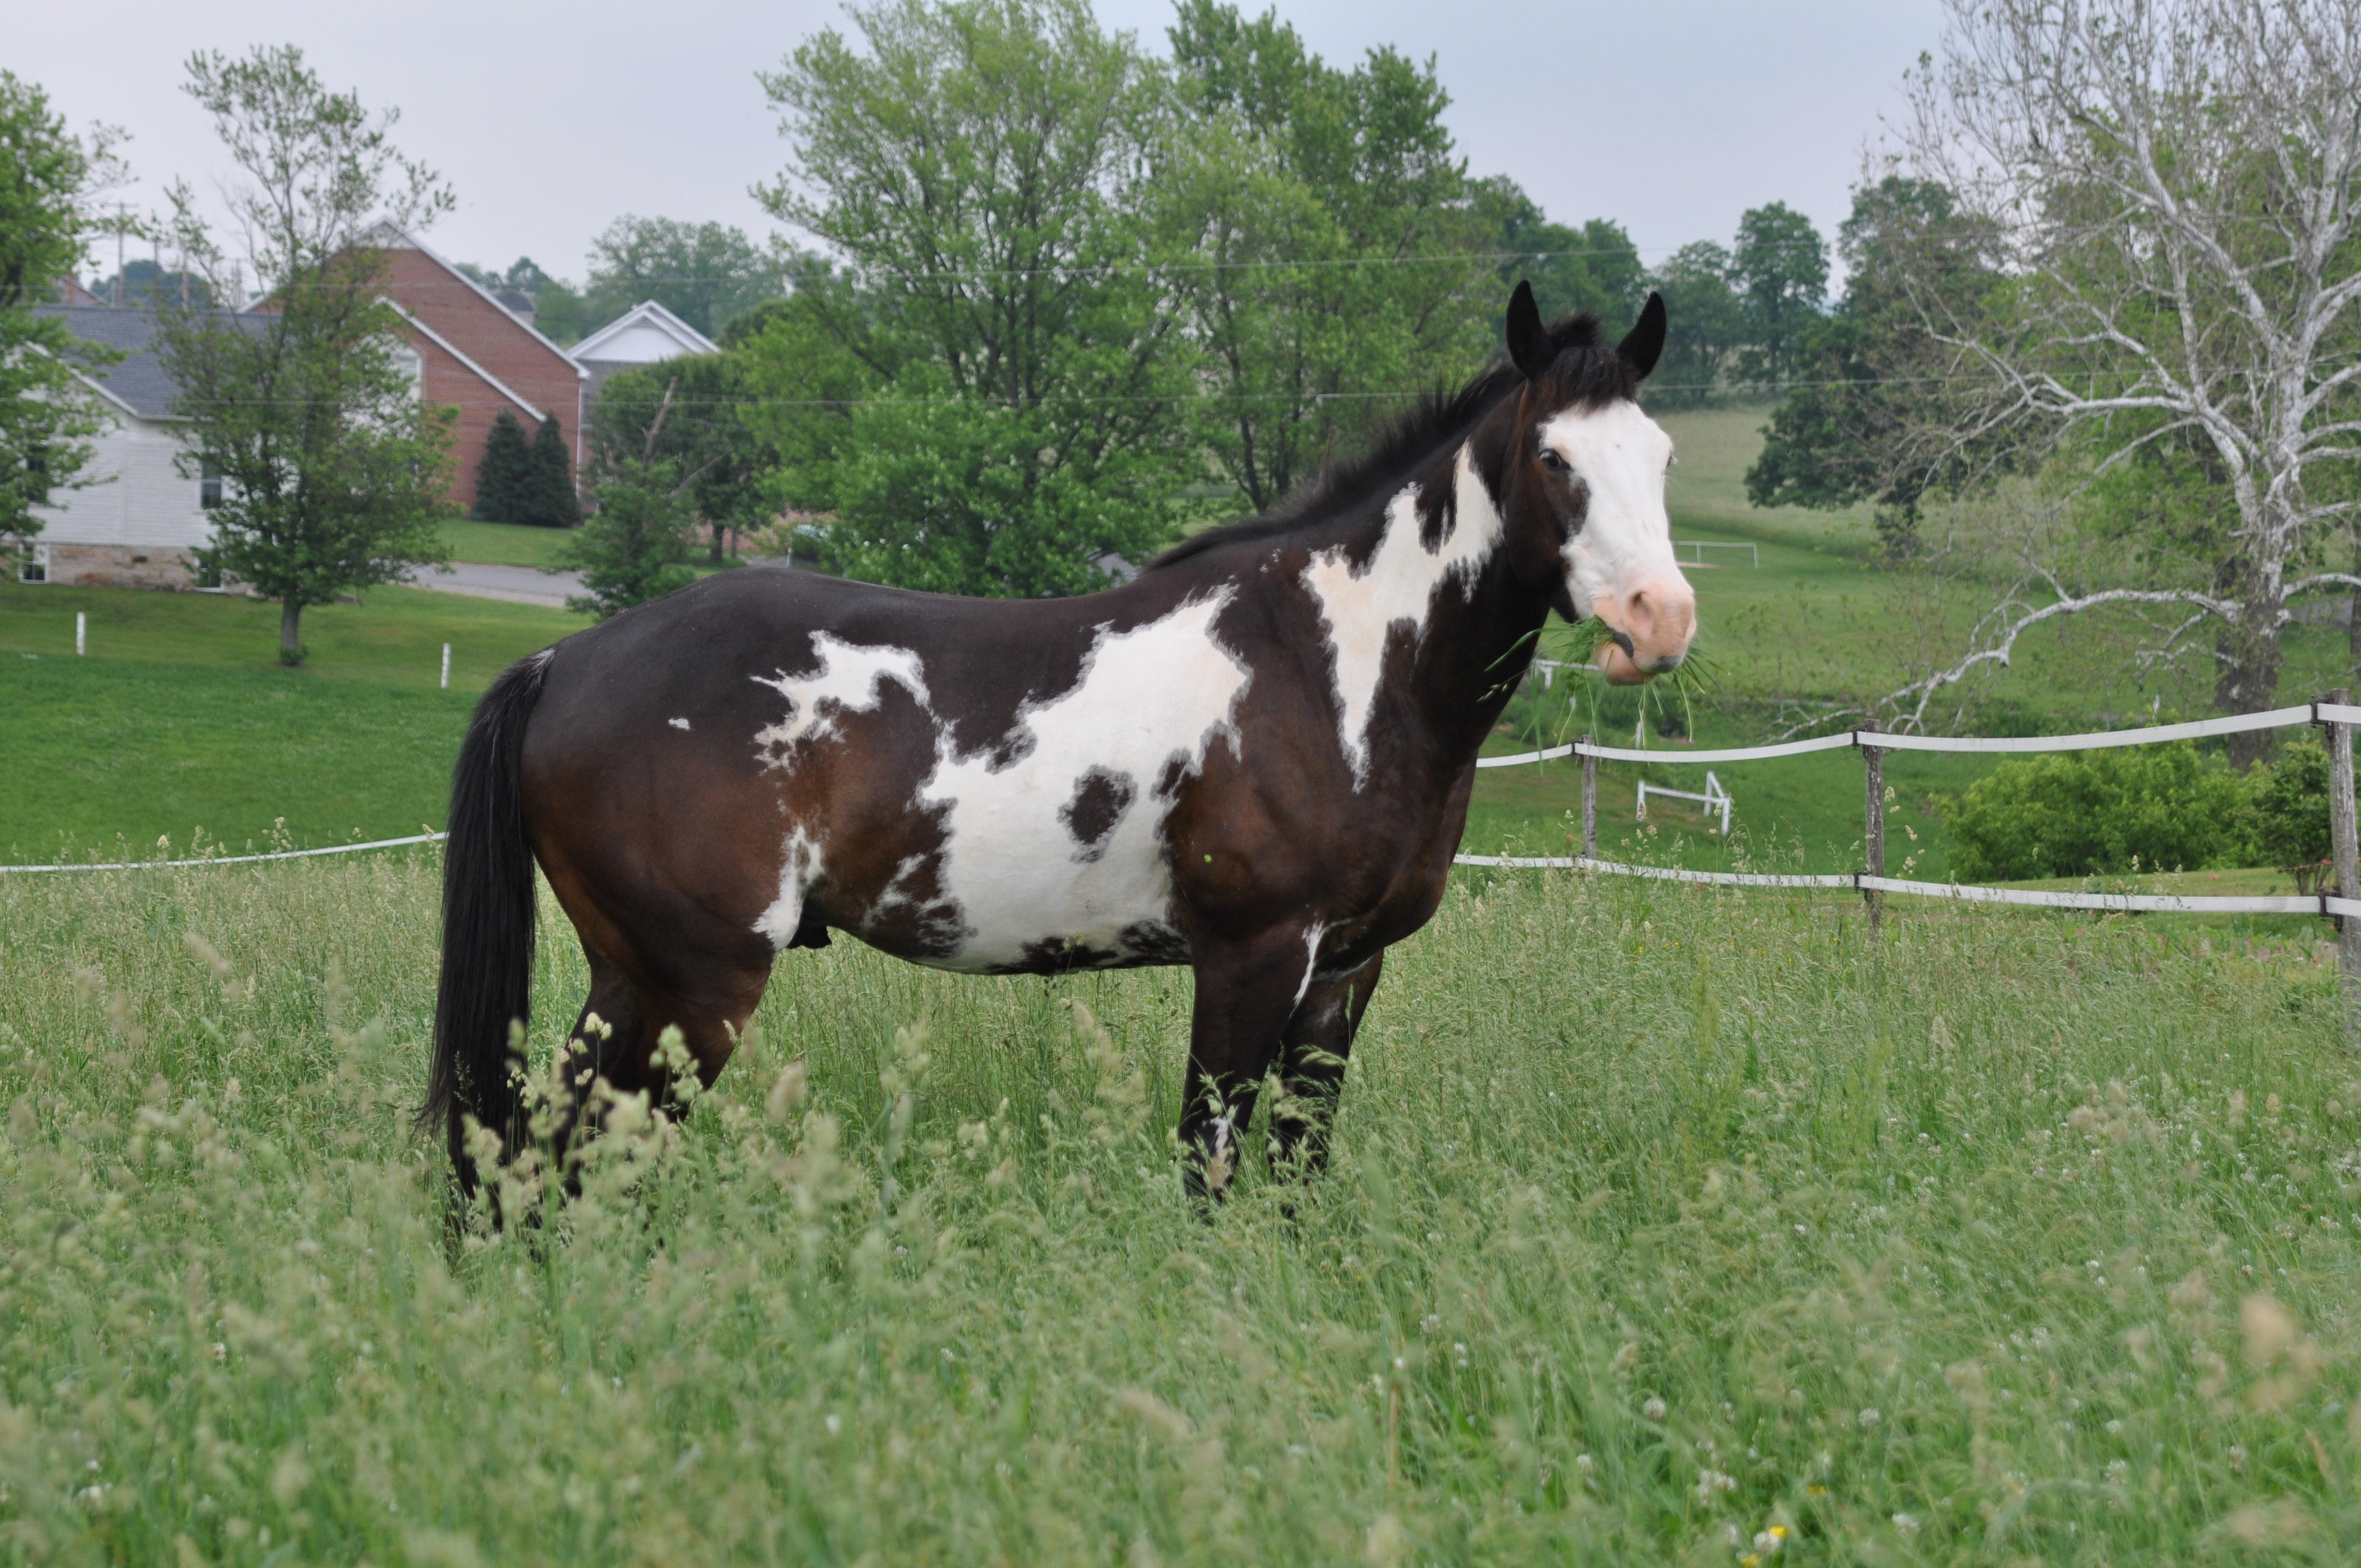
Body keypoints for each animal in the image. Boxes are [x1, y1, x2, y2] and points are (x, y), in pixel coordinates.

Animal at [429, 282, 1700, 1195]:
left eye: (1661, 459)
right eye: (1552, 457)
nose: (1660, 618)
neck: (1329, 662)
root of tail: (565, 663)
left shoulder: (1345, 968)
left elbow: (1297, 1171)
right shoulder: (1251, 956)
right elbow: (1207, 1168)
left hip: (638, 983)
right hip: (687, 984)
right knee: (567, 1156)